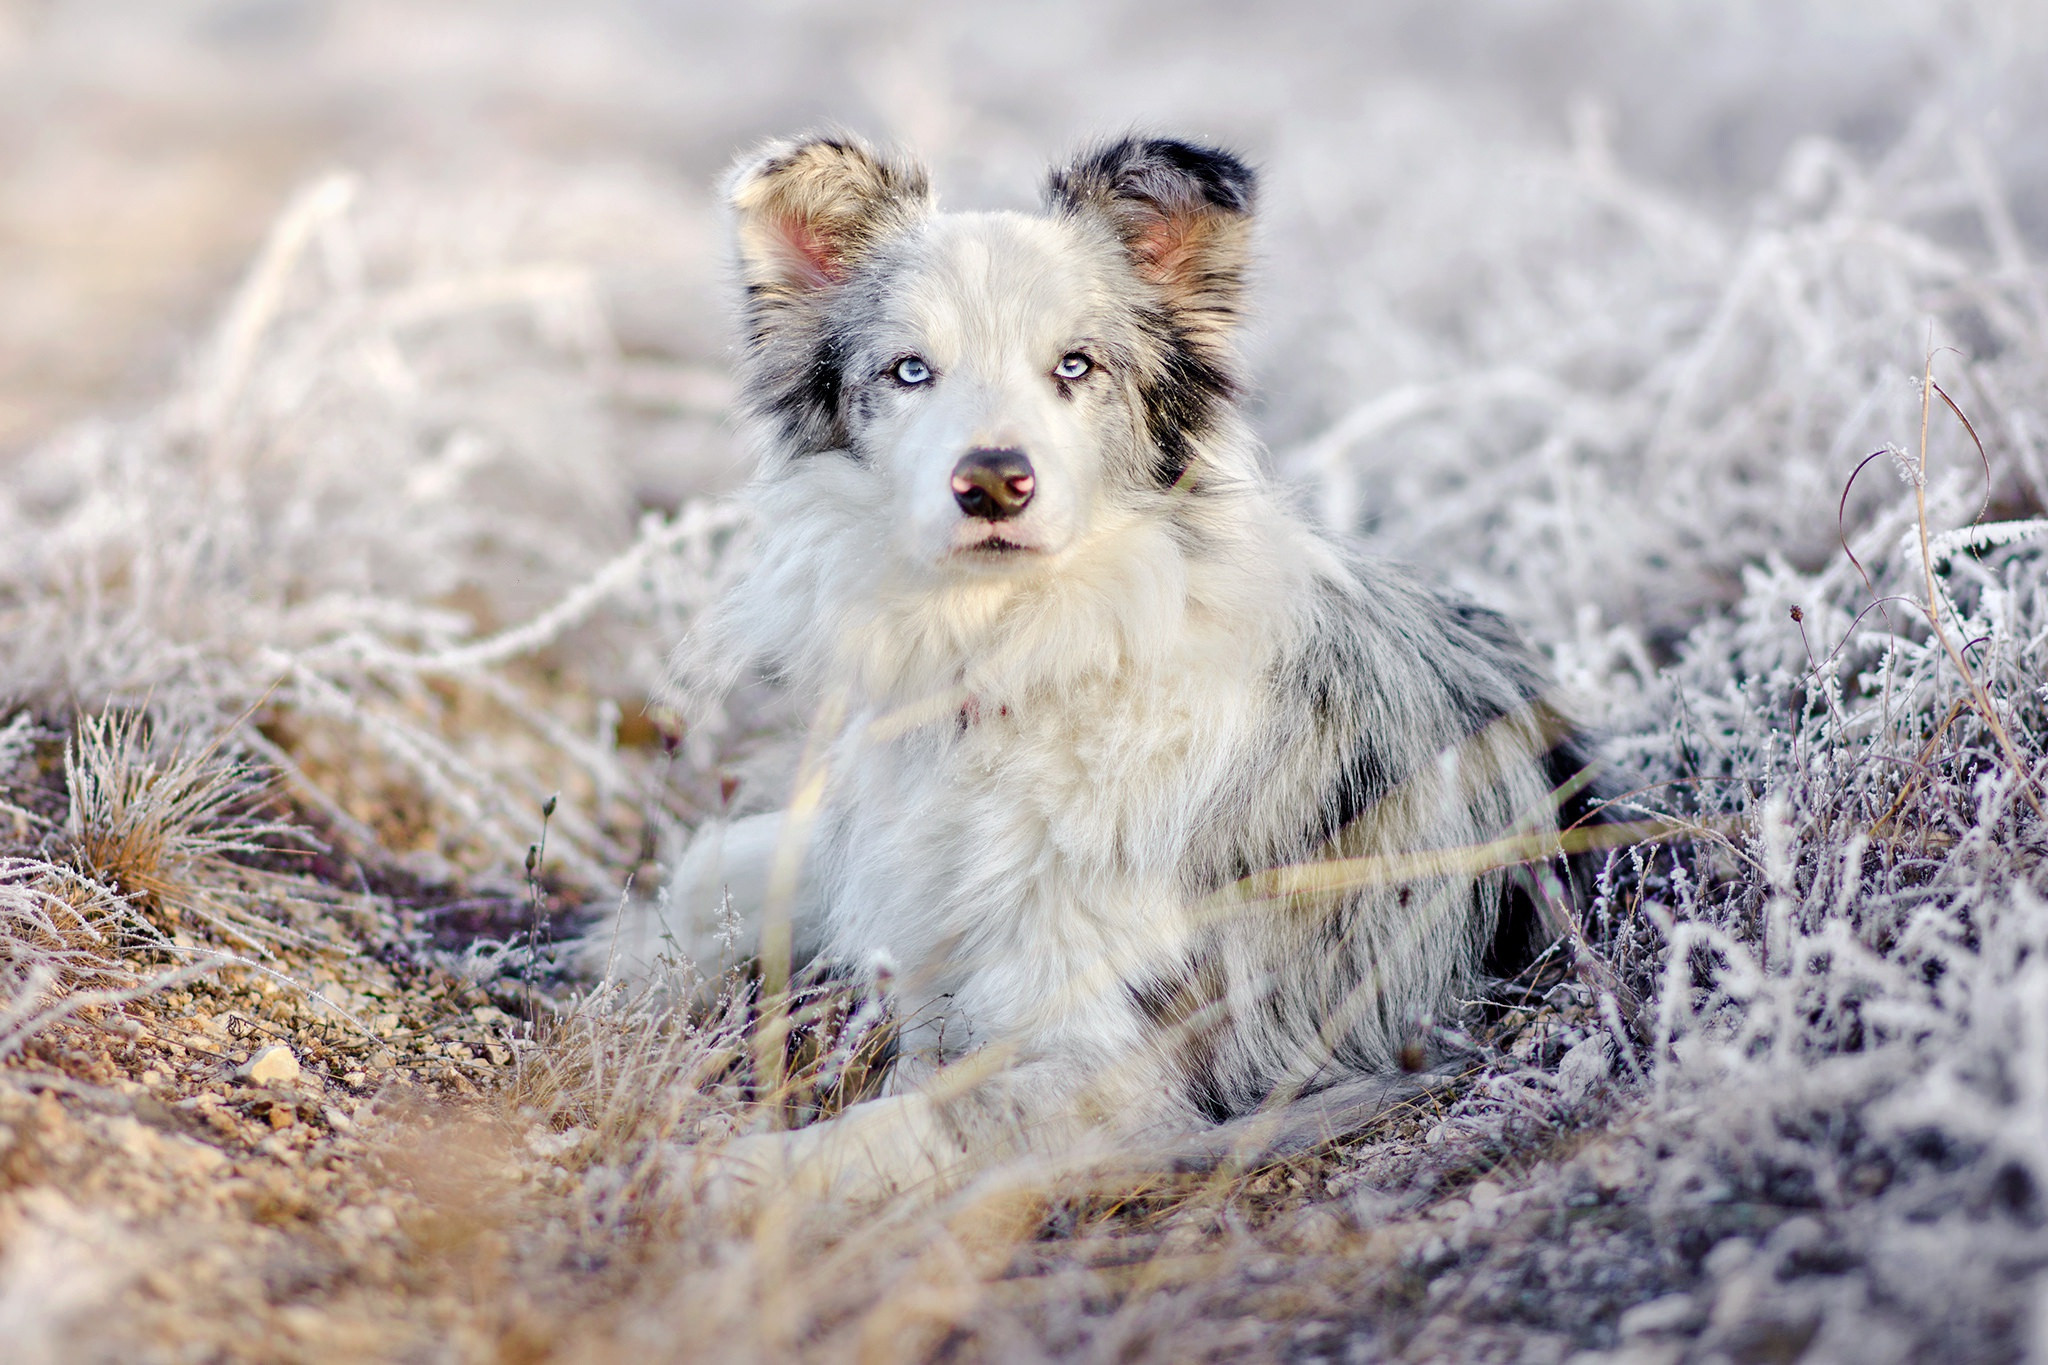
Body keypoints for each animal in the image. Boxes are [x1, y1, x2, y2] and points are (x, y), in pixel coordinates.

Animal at [598, 133, 1605, 1203]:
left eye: (1076, 365)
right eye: (910, 370)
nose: (993, 480)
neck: (1020, 654)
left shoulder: (1116, 1069)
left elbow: (905, 1120)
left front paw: (714, 1170)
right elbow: (710, 869)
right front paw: (634, 965)